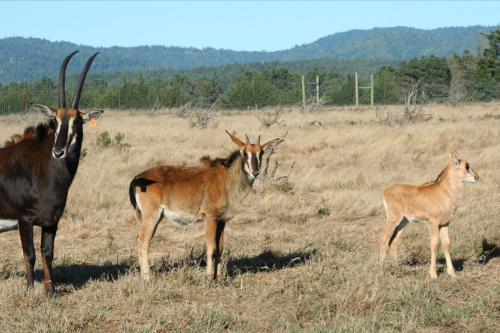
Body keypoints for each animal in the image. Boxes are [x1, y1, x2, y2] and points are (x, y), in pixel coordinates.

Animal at [0, 50, 103, 294]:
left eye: (77, 121)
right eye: (55, 121)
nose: (58, 151)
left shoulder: (51, 221)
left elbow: (48, 254)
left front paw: (51, 291)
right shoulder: (24, 219)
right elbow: (30, 254)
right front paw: (30, 290)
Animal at [129, 130, 276, 280]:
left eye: (261, 152)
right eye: (245, 153)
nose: (255, 173)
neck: (227, 178)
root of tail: (136, 178)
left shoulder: (221, 221)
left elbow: (220, 248)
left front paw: (219, 278)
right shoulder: (210, 218)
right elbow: (211, 248)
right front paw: (209, 277)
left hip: (158, 217)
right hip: (151, 216)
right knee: (142, 241)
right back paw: (147, 277)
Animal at [380, 150, 478, 278]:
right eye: (467, 166)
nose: (477, 177)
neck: (443, 191)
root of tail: (385, 191)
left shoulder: (444, 224)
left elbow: (447, 244)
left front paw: (451, 273)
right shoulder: (432, 223)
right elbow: (434, 245)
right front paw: (433, 274)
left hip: (403, 222)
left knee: (393, 241)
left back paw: (397, 267)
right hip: (393, 220)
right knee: (384, 237)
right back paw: (381, 268)